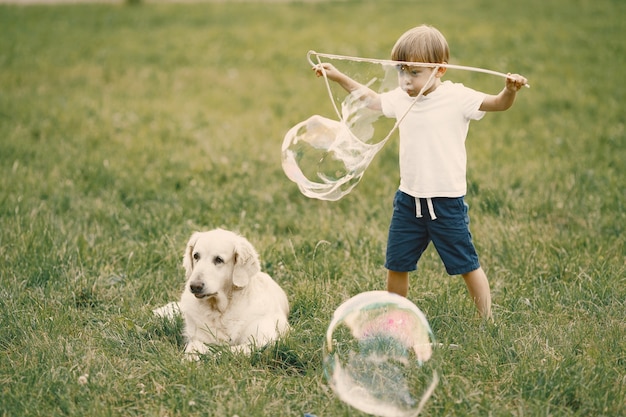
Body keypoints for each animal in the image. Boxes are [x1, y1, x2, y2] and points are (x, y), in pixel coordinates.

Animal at [152, 228, 288, 358]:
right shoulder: (198, 336)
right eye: (196, 256)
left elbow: (232, 351)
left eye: (219, 259)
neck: (220, 310)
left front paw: (213, 356)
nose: (195, 286)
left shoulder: (264, 339)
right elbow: (193, 348)